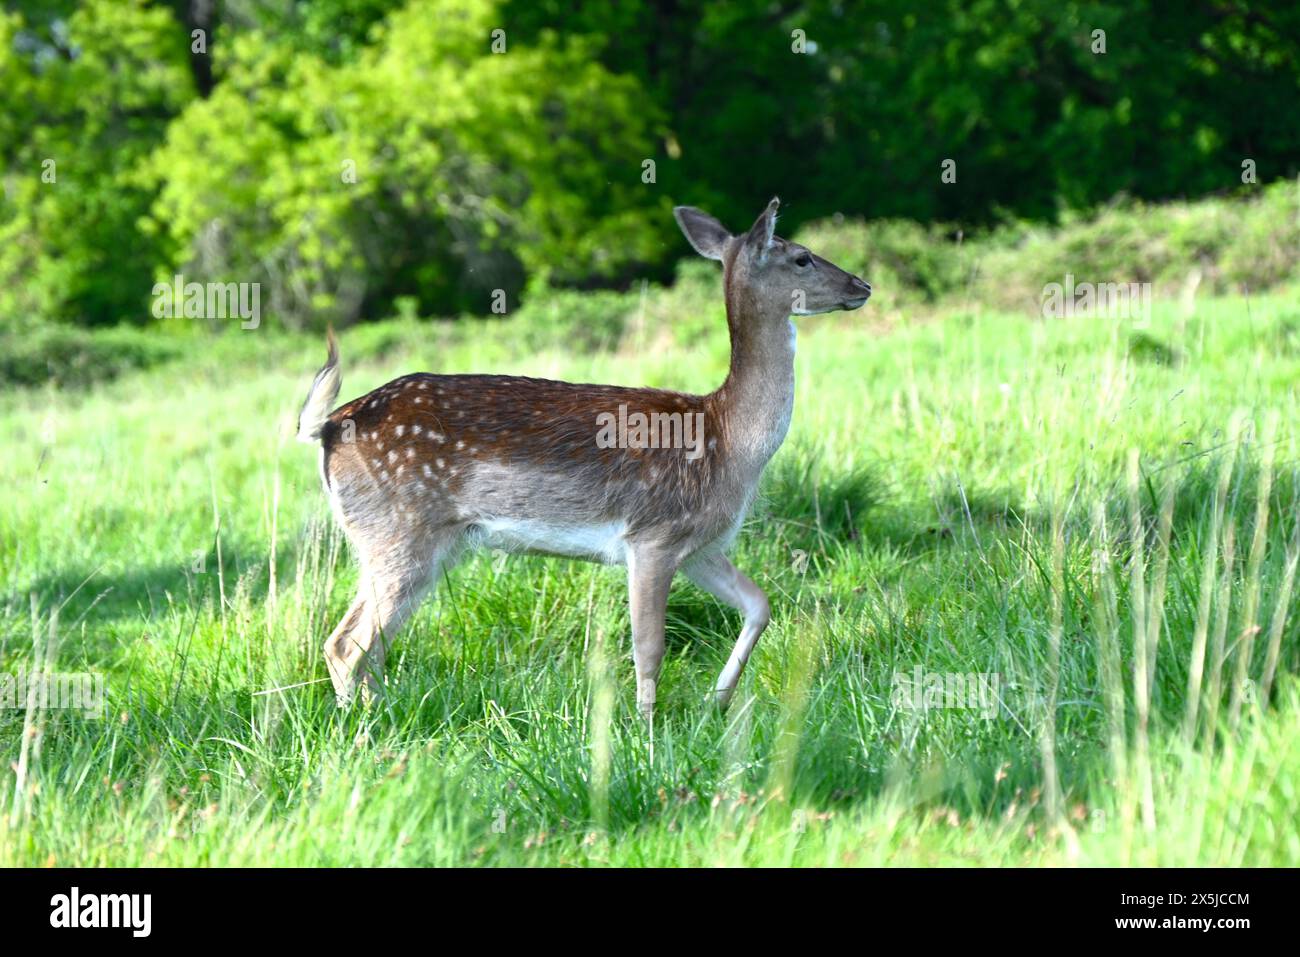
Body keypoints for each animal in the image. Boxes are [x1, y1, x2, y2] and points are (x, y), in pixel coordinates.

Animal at [297, 197, 871, 723]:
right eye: (801, 257)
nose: (862, 285)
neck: (726, 440)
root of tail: (326, 429)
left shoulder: (700, 543)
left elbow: (760, 605)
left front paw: (717, 700)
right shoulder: (653, 534)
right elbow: (649, 649)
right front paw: (647, 734)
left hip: (414, 542)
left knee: (368, 646)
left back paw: (384, 720)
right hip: (398, 532)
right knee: (345, 644)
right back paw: (362, 734)